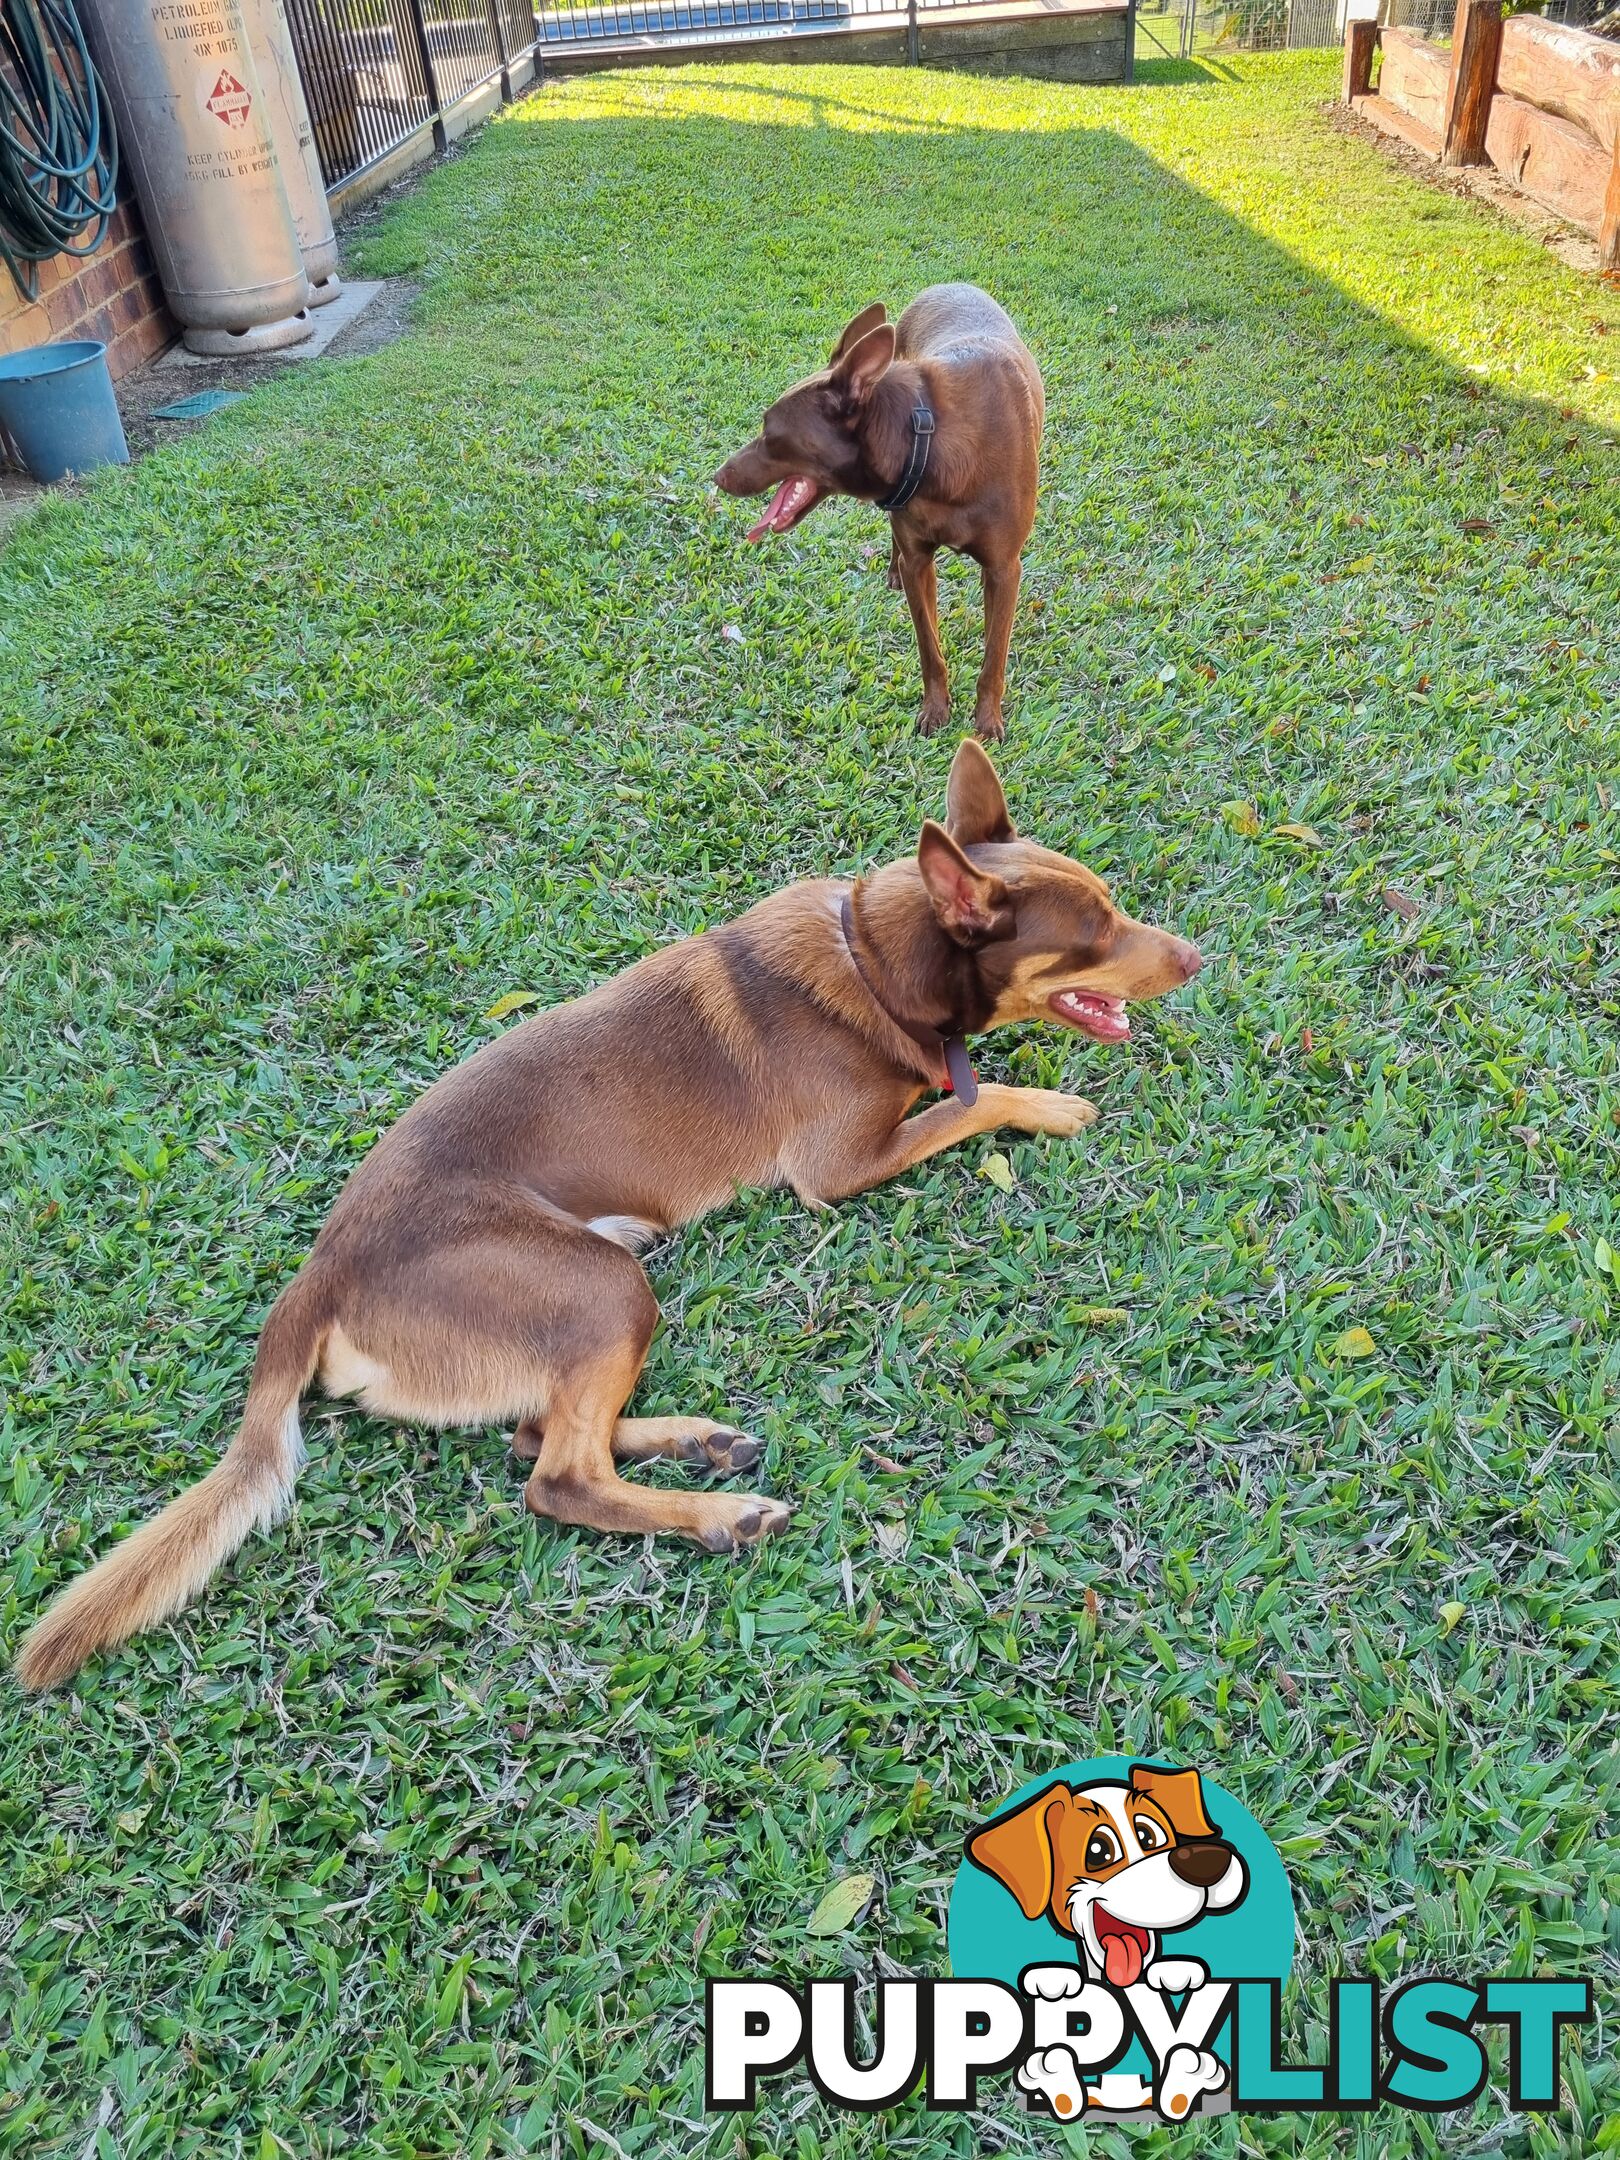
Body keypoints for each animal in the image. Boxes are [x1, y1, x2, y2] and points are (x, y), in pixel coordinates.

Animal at [15, 743, 1209, 1684]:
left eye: (1113, 904)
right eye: (1095, 930)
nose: (1198, 957)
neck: (878, 956)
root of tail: (318, 1276)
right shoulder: (842, 1166)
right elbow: (977, 1097)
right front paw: (1049, 1105)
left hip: (591, 1299)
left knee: (535, 1433)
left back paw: (700, 1440)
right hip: (599, 1286)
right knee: (557, 1478)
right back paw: (719, 1514)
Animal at [717, 287, 1045, 743]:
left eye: (769, 432)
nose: (718, 476)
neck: (926, 441)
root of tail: (946, 284)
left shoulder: (1004, 568)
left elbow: (994, 654)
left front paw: (987, 722)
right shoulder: (919, 560)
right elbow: (929, 646)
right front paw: (936, 709)